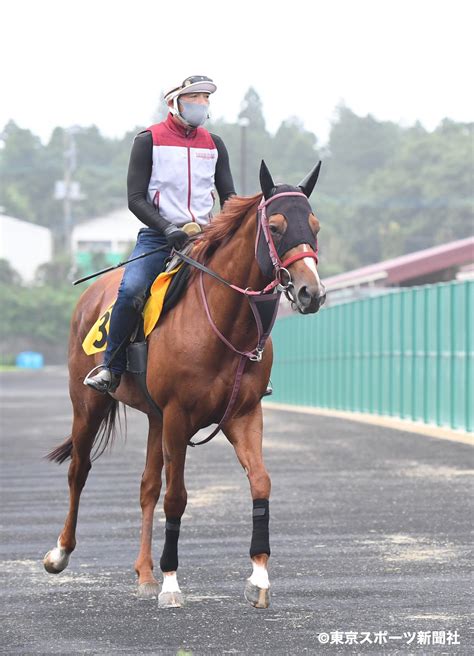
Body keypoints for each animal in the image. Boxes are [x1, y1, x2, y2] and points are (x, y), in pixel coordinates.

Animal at [43, 160, 326, 608]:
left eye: (314, 225)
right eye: (276, 226)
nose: (309, 292)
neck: (224, 324)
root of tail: (89, 297)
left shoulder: (243, 414)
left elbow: (260, 482)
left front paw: (259, 576)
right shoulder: (178, 416)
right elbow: (177, 497)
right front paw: (172, 582)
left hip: (155, 418)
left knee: (147, 486)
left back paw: (144, 574)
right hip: (87, 405)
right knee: (79, 470)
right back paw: (60, 552)